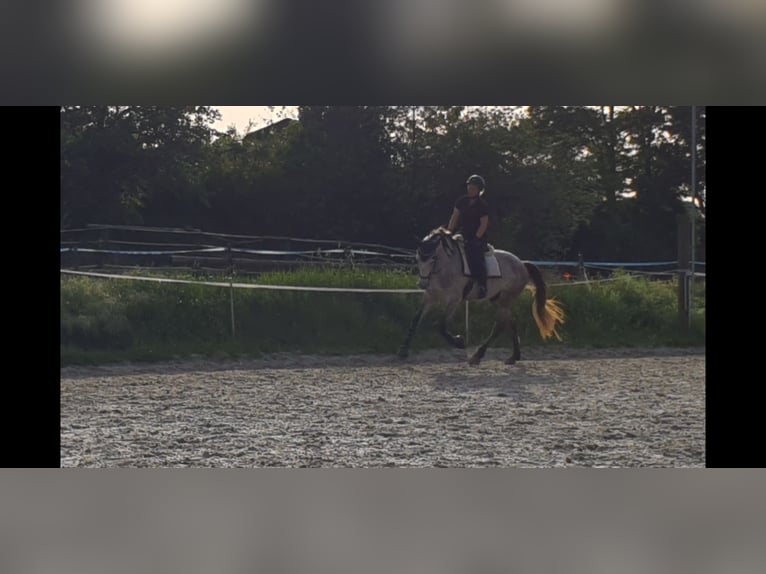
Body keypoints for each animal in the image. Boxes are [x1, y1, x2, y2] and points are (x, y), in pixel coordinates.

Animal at [400, 228, 568, 366]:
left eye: (433, 259)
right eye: (418, 259)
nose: (422, 284)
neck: (444, 268)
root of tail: (521, 263)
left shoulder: (454, 300)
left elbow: (439, 326)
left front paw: (459, 342)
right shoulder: (429, 297)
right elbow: (415, 321)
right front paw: (403, 351)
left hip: (506, 299)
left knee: (500, 326)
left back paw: (477, 355)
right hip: (497, 299)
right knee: (510, 323)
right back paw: (513, 357)